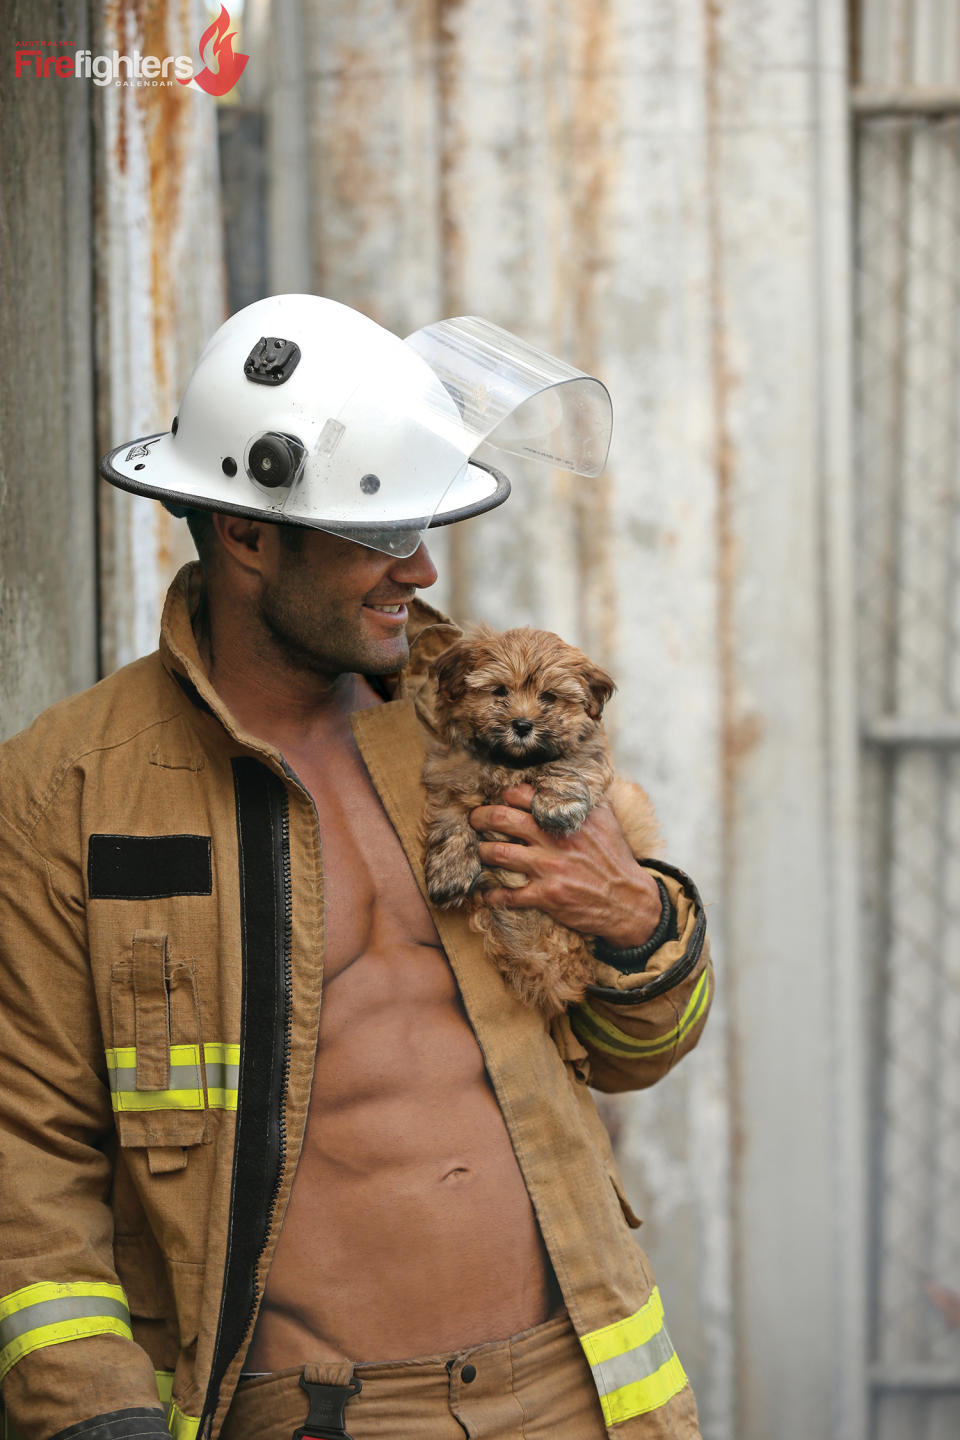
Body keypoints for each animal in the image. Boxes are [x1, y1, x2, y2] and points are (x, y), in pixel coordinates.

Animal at [420, 624, 662, 1019]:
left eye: (548, 697)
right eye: (499, 691)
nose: (522, 724)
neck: (512, 763)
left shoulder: (587, 750)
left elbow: (567, 763)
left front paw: (557, 804)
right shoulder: (449, 774)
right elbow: (451, 819)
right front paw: (450, 871)